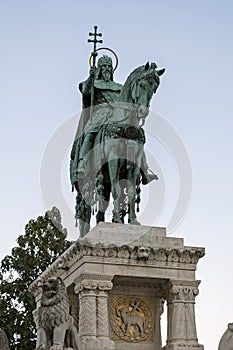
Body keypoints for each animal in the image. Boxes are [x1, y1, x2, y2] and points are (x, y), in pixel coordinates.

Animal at [74, 61, 164, 237]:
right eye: (141, 84)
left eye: (155, 88)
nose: (143, 111)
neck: (126, 124)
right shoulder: (113, 159)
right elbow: (117, 190)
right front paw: (116, 219)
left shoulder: (134, 164)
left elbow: (131, 192)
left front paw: (133, 221)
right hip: (86, 181)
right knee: (85, 211)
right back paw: (83, 235)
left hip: (104, 181)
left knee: (102, 205)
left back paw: (100, 223)